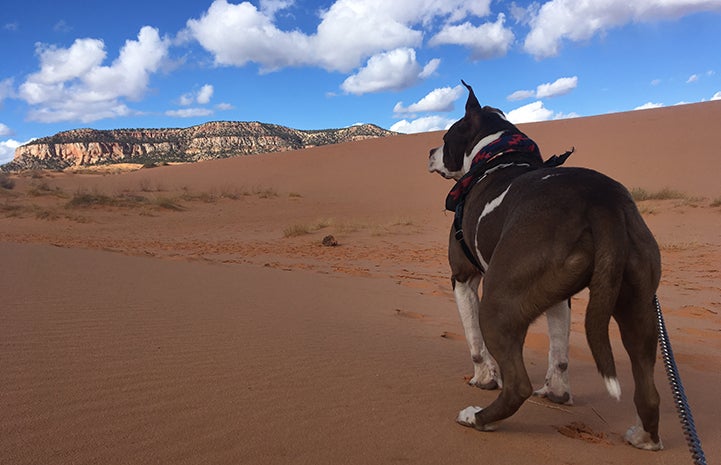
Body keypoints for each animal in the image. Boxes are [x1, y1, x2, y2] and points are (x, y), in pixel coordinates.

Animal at [430, 80, 660, 450]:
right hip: (638, 307)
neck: (495, 157)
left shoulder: (463, 278)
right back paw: (644, 437)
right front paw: (557, 392)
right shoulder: (558, 295)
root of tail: (602, 202)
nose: (429, 152)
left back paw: (478, 418)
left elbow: (474, 342)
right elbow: (560, 351)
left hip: (497, 304)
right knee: (647, 387)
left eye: (447, 136)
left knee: (517, 385)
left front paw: (483, 378)